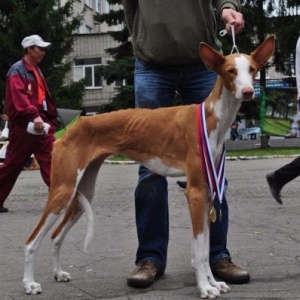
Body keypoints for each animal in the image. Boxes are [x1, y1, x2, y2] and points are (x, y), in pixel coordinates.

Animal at [23, 35, 276, 298]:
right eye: (230, 71)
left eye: (252, 69)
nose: (248, 92)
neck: (211, 117)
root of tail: (67, 131)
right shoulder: (195, 192)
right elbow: (198, 251)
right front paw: (205, 287)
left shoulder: (207, 193)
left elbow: (205, 250)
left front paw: (214, 283)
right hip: (63, 190)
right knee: (31, 241)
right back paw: (29, 284)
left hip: (81, 192)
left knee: (55, 236)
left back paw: (58, 273)